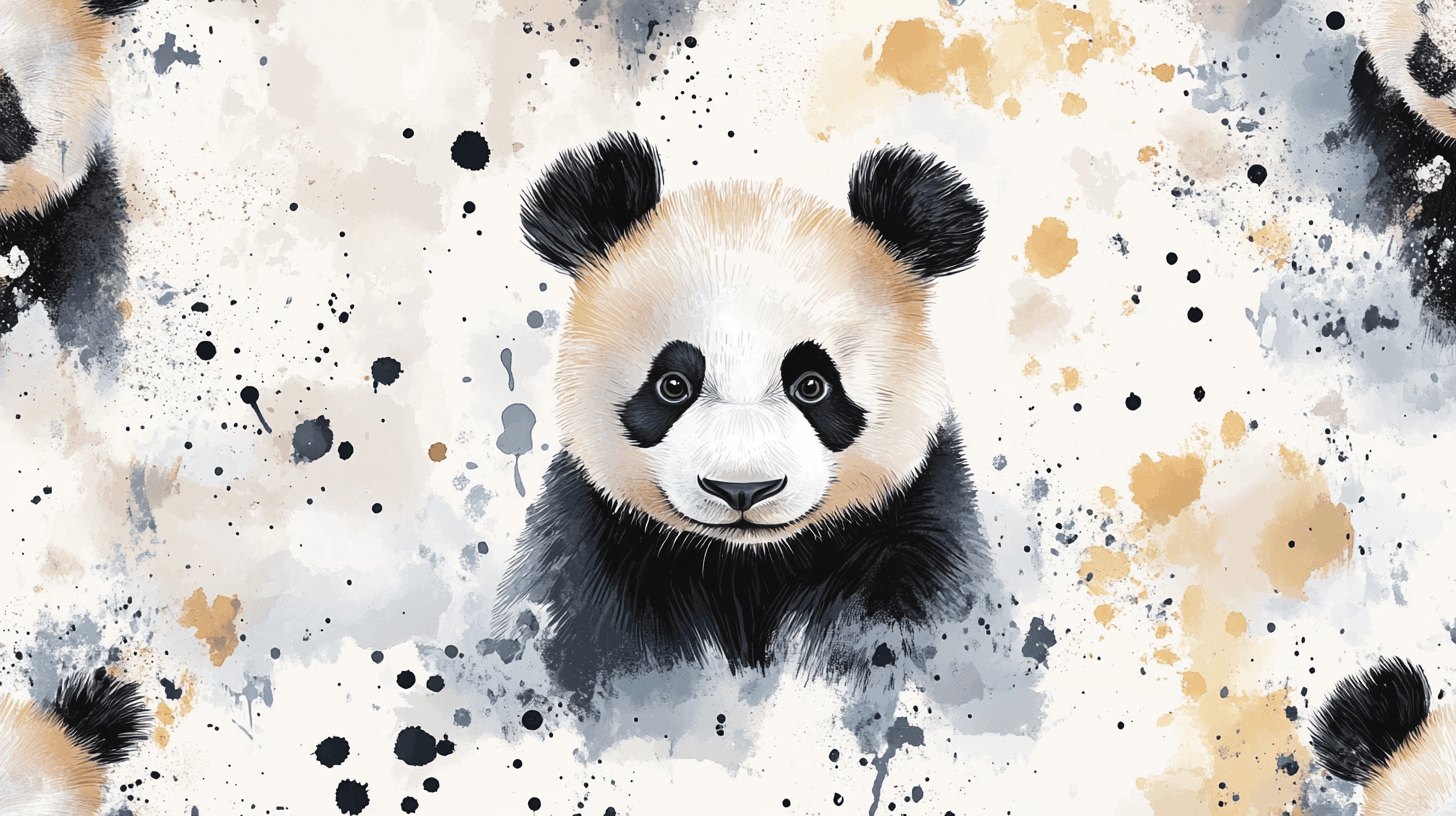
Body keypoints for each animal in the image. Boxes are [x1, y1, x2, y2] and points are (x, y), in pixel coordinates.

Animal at [496, 132, 991, 695]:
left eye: (812, 385)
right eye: (672, 386)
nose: (742, 490)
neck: (746, 564)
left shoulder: (912, 539)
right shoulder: (592, 550)